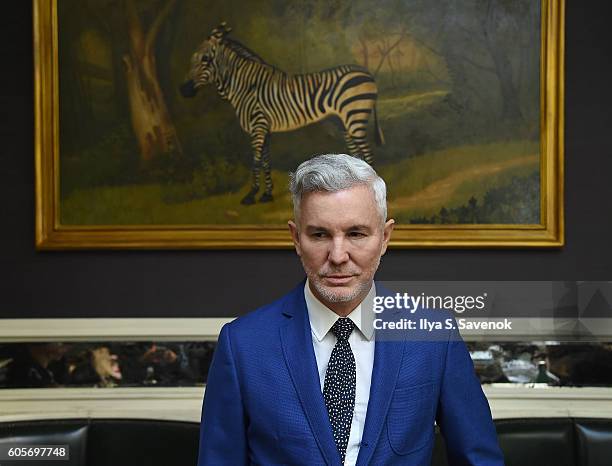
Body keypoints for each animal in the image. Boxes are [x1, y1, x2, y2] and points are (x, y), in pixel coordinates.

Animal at [179, 21, 384, 204]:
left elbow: (255, 161)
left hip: (355, 115)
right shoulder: (265, 129)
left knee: (368, 153)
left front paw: (250, 195)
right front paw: (267, 194)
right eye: (192, 58)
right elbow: (266, 161)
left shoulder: (258, 125)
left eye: (205, 59)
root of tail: (368, 74)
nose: (183, 90)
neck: (245, 86)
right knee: (356, 154)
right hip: (343, 121)